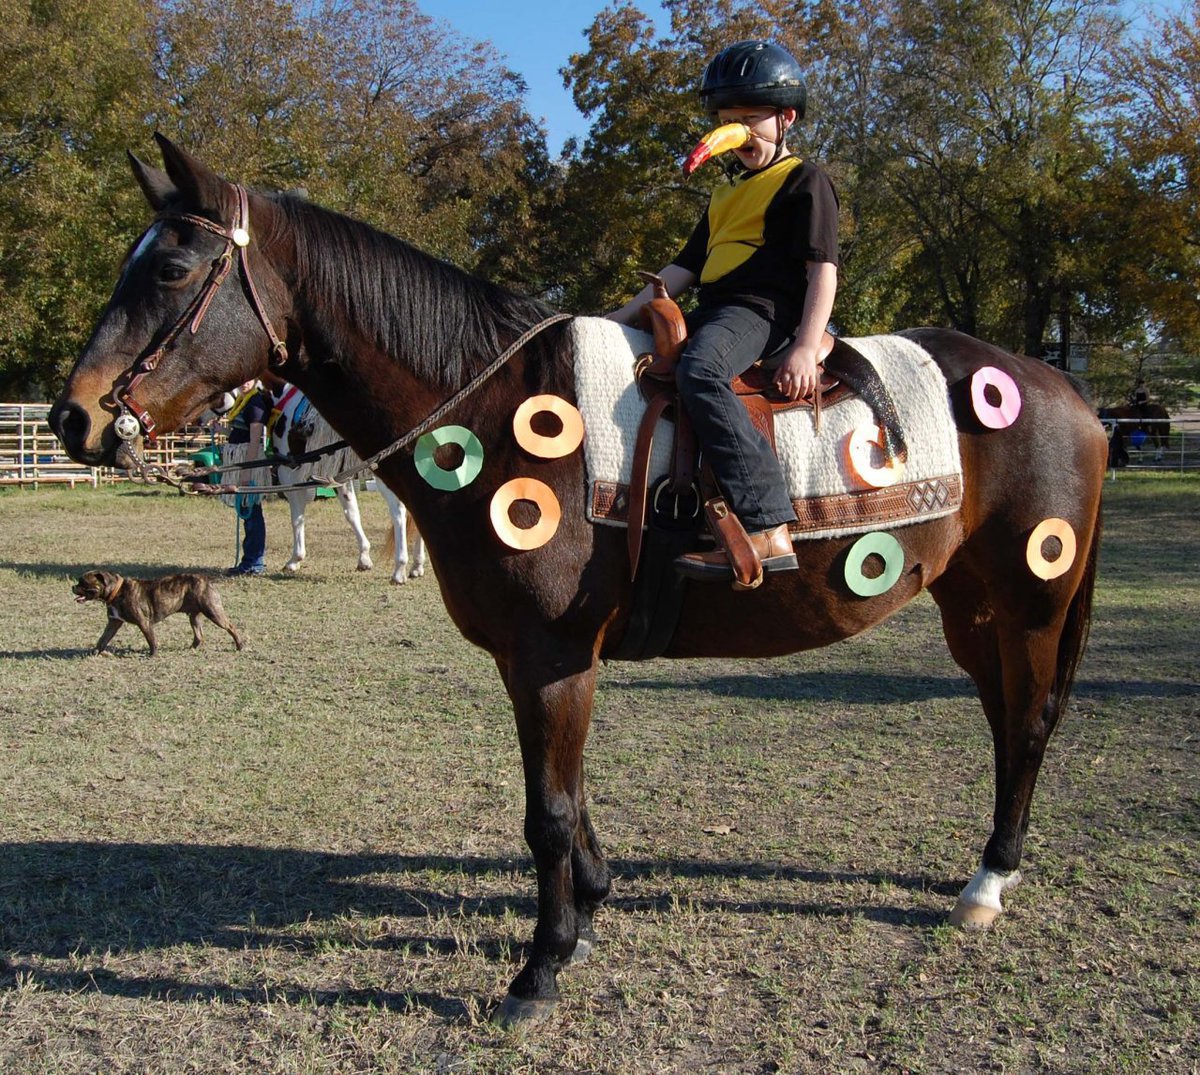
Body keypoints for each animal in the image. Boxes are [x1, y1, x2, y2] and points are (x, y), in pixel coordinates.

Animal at [50, 136, 1108, 1027]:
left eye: (171, 269)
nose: (73, 417)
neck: (495, 405)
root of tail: (1060, 389)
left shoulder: (553, 652)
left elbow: (548, 813)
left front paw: (541, 965)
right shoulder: (538, 660)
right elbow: (567, 793)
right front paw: (591, 909)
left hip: (1030, 599)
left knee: (1028, 722)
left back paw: (986, 883)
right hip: (972, 605)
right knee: (1006, 718)